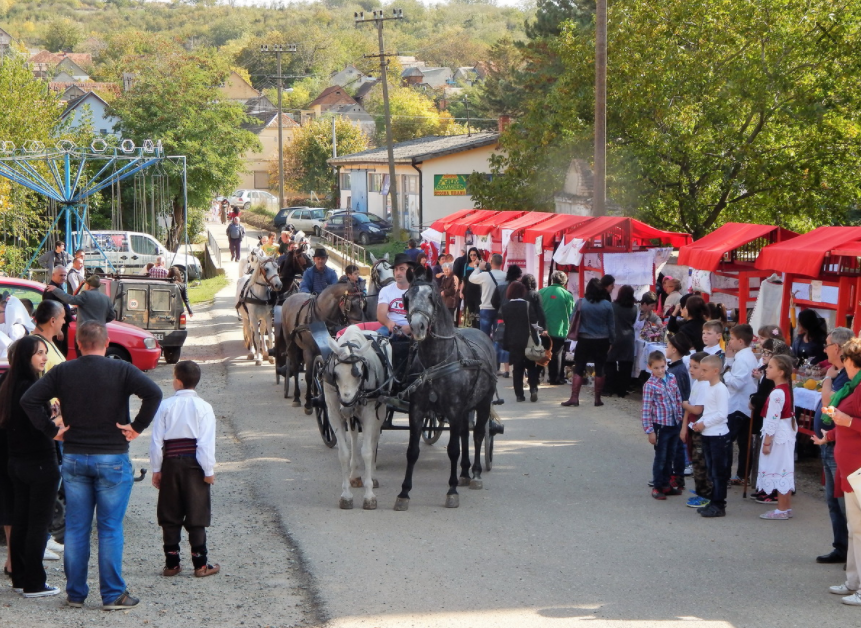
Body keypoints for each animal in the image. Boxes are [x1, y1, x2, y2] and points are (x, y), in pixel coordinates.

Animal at [394, 280, 494, 510]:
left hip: (484, 403)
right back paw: (464, 472)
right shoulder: (417, 409)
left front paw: (452, 490)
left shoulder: (454, 410)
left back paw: (475, 474)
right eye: (407, 297)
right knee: (465, 434)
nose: (417, 327)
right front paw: (404, 492)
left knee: (478, 434)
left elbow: (453, 450)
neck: (435, 363)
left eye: (432, 297)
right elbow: (412, 451)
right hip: (466, 408)